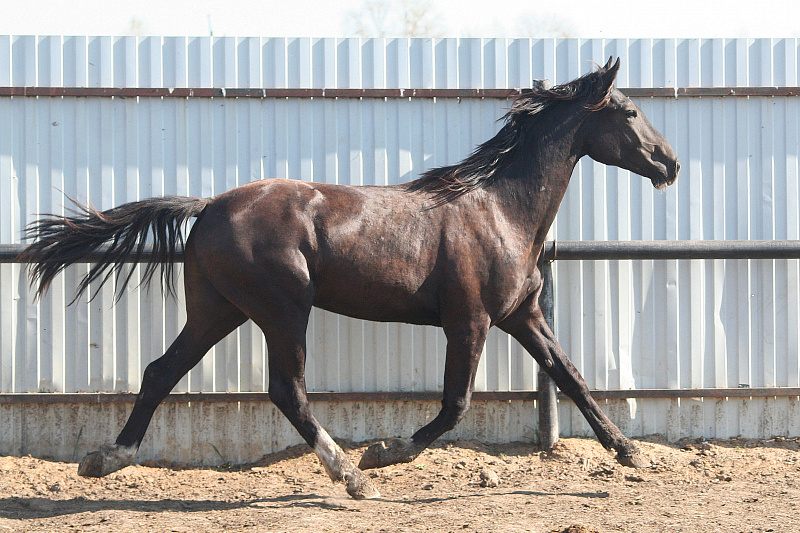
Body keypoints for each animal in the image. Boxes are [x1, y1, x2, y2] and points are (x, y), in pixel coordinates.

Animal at [21, 57, 679, 500]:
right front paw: (384, 455)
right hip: (284, 310)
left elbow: (573, 378)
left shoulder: (523, 316)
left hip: (218, 310)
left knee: (161, 371)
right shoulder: (469, 321)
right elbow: (456, 404)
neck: (498, 209)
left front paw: (630, 454)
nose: (669, 163)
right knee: (286, 389)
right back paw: (349, 475)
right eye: (629, 112)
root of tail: (207, 207)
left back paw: (105, 459)